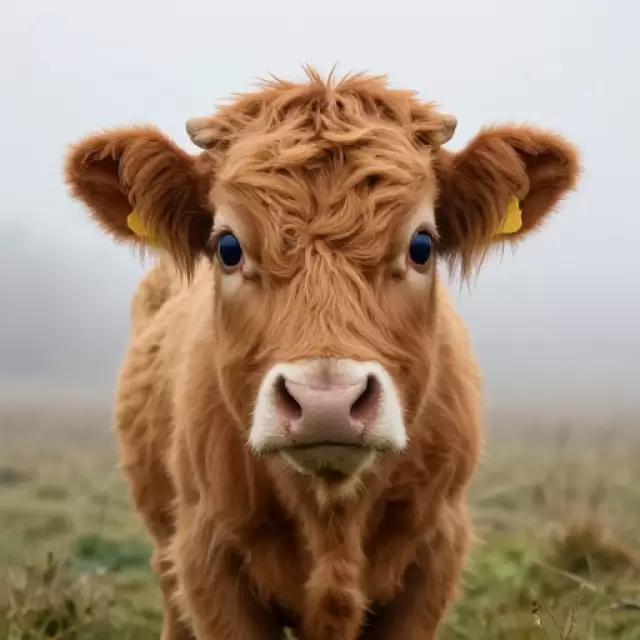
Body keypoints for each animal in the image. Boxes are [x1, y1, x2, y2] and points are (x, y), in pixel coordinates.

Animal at [63, 68, 580, 640]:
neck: (333, 514)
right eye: (228, 247)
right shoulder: (206, 557)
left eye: (422, 245)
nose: (325, 402)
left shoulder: (436, 550)